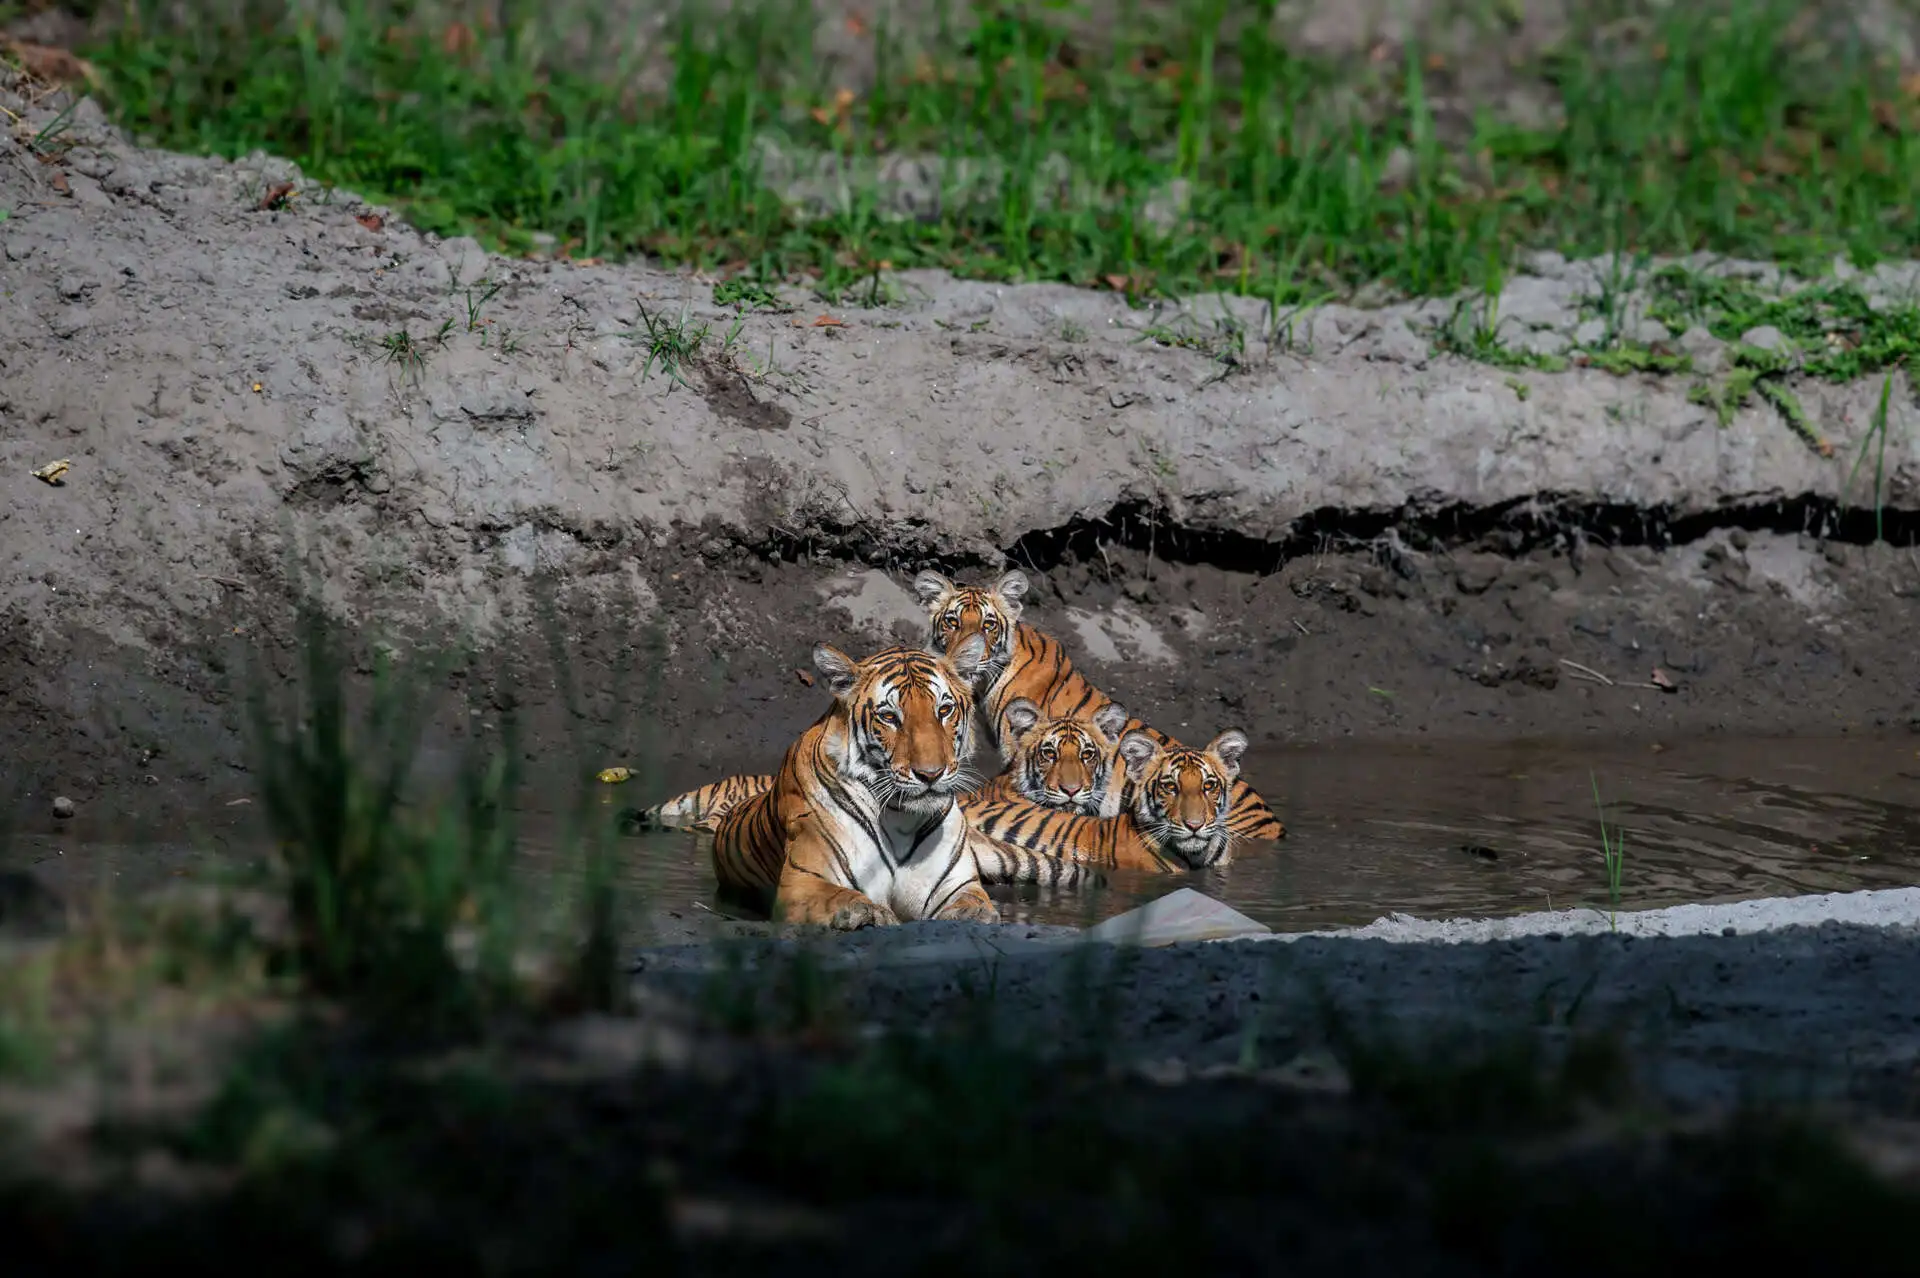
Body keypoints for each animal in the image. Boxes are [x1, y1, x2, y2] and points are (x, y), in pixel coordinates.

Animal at [708, 636, 1012, 929]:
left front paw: (974, 915)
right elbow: (841, 897)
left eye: (945, 710)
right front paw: (870, 912)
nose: (930, 774)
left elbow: (975, 904)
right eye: (889, 717)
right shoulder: (802, 881)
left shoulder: (956, 885)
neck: (901, 819)